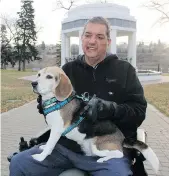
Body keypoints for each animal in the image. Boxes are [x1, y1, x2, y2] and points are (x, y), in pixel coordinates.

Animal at [31, 65, 159, 173]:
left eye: (49, 77)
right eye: (39, 74)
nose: (33, 83)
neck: (55, 101)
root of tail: (122, 139)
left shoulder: (57, 130)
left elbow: (50, 145)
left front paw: (40, 157)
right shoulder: (53, 129)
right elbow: (49, 143)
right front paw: (43, 147)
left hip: (97, 146)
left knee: (119, 153)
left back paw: (103, 159)